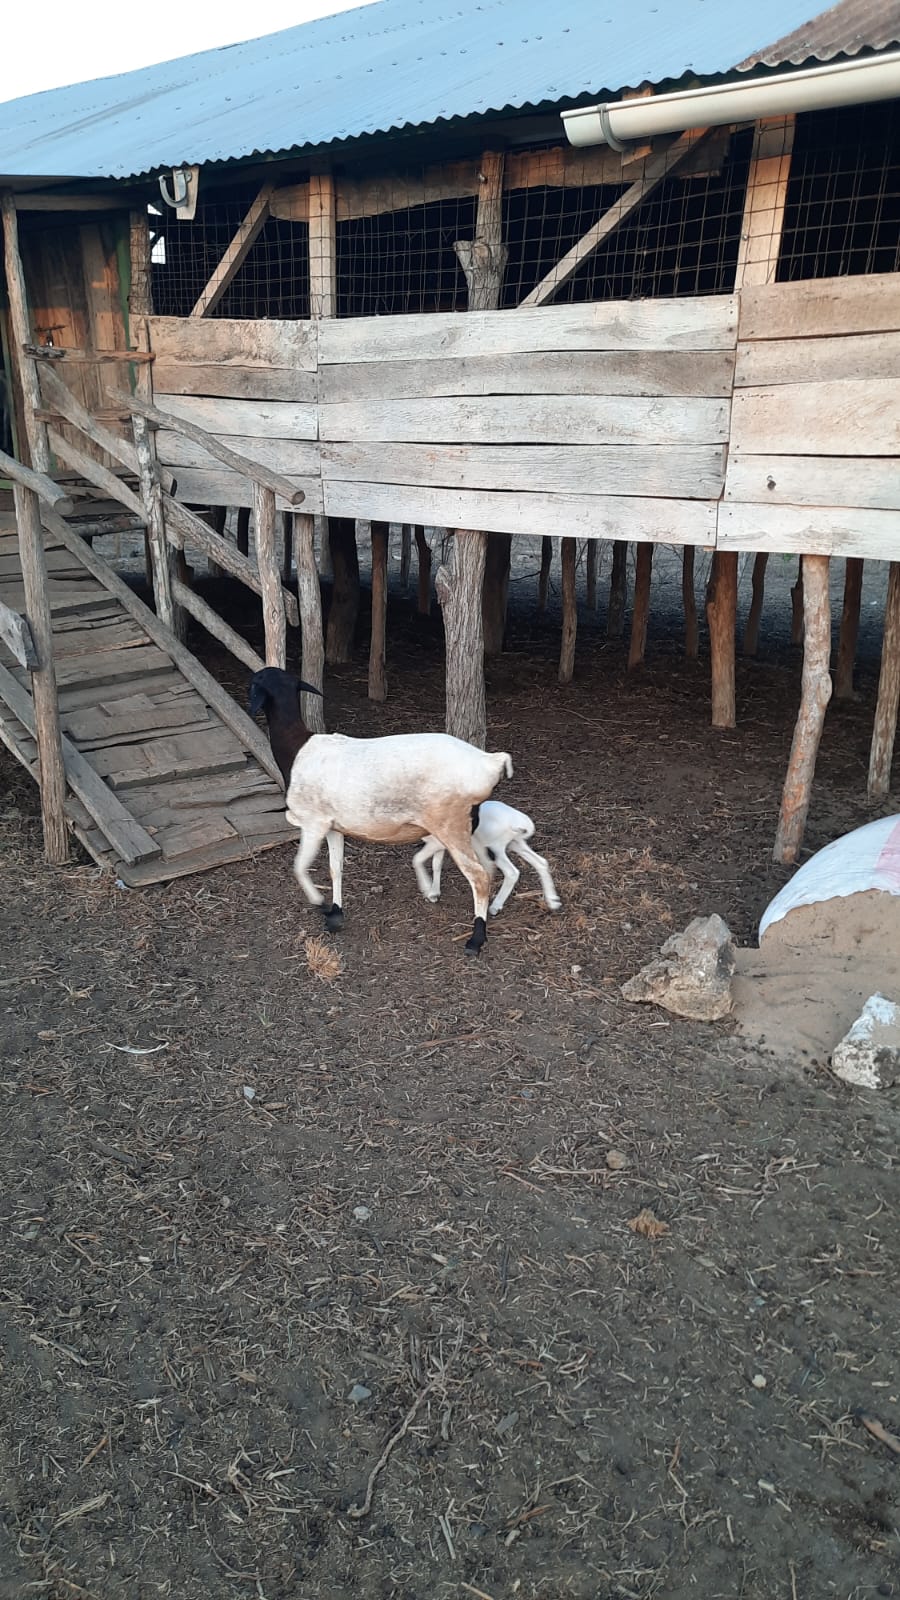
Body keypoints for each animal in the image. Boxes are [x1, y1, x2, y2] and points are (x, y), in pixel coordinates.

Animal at [248, 667, 513, 954]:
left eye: (257, 682)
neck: (296, 749)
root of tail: (490, 763)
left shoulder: (313, 822)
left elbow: (299, 867)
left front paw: (322, 905)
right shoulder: (333, 826)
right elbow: (335, 868)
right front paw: (336, 914)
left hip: (451, 824)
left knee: (479, 876)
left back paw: (475, 939)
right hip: (467, 823)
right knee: (489, 867)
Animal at [413, 800, 561, 918]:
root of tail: (520, 822)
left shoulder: (438, 843)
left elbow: (417, 859)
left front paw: (426, 889)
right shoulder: (440, 845)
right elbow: (436, 864)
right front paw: (433, 893)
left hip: (496, 848)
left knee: (511, 872)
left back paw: (494, 906)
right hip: (516, 843)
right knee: (540, 862)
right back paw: (553, 901)